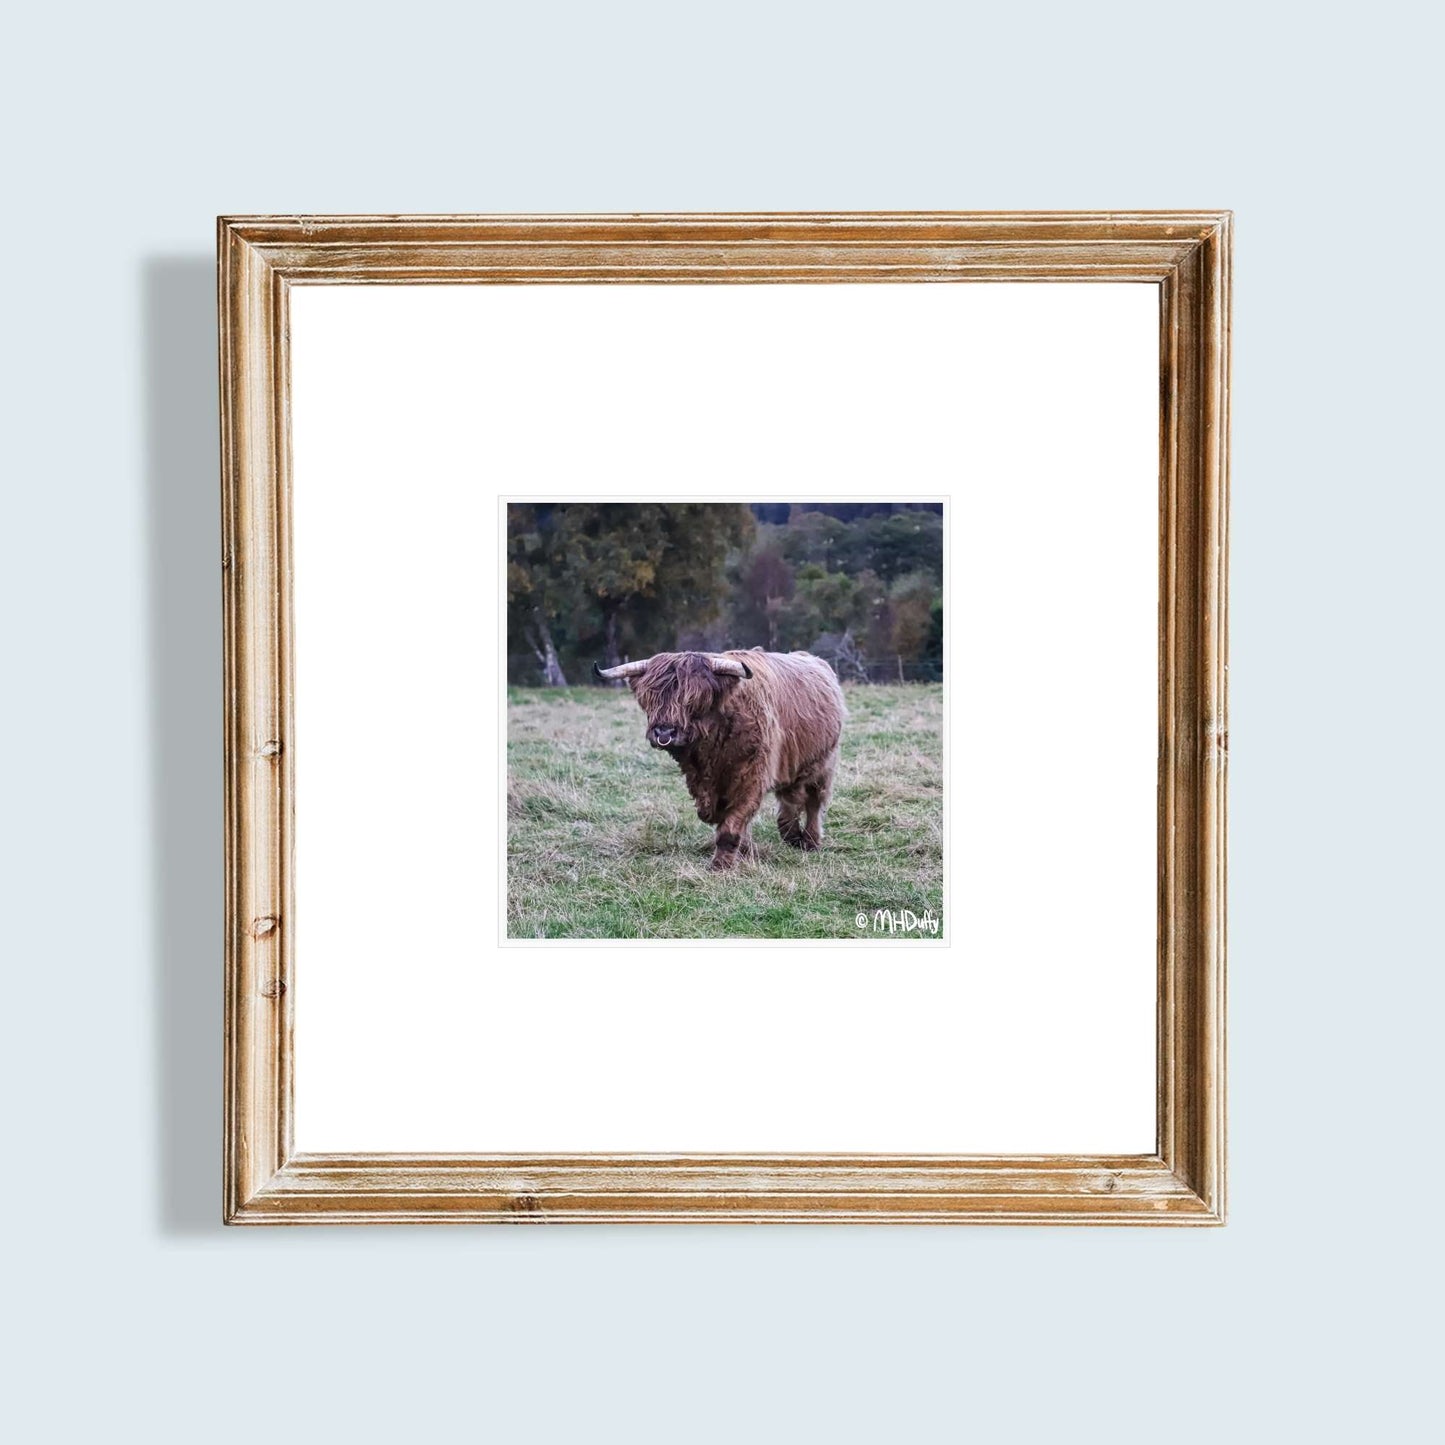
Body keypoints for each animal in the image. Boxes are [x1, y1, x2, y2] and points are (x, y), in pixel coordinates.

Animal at [593, 649, 846, 870]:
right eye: (650, 699)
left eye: (694, 699)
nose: (664, 733)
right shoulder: (702, 783)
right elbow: (721, 817)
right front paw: (746, 851)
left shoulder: (751, 776)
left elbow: (732, 824)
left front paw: (721, 865)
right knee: (790, 798)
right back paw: (790, 834)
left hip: (823, 764)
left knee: (813, 801)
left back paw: (810, 841)